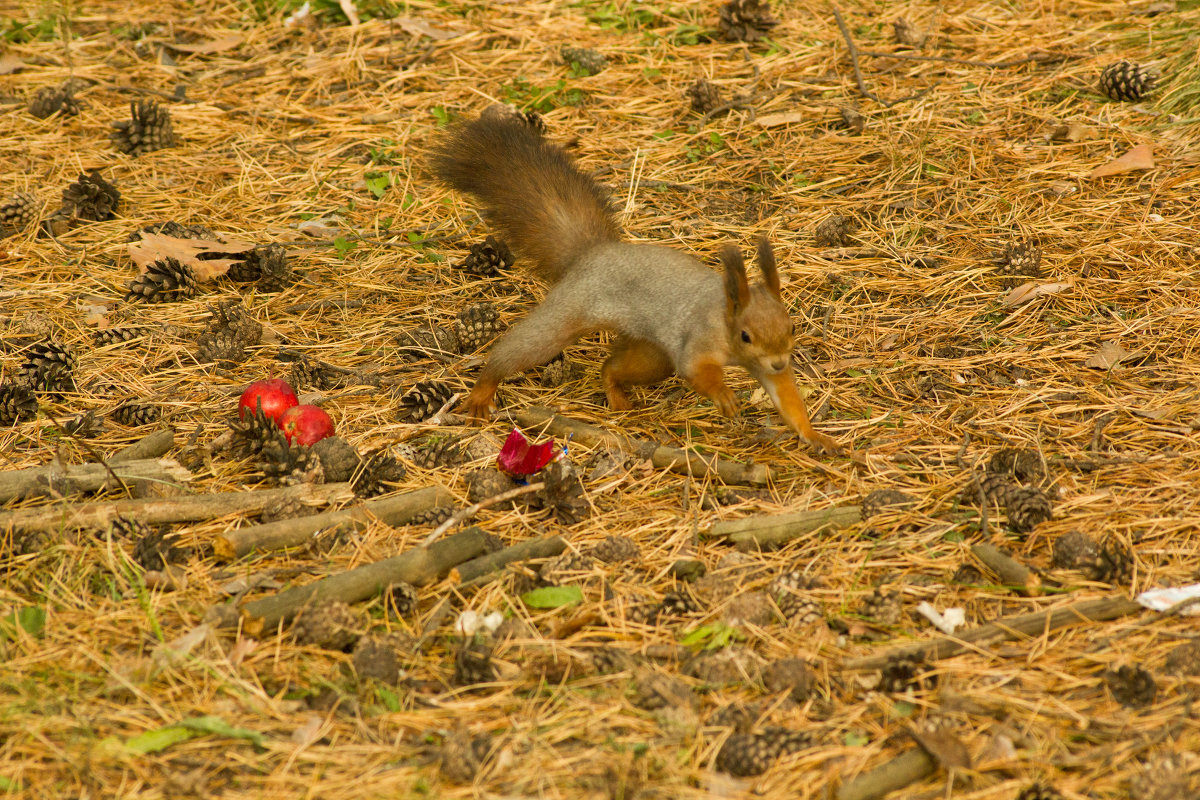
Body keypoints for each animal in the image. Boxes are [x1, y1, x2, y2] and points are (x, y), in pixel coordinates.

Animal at [436, 107, 840, 455]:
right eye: (745, 335)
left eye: (791, 328)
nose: (779, 363)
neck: (726, 318)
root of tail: (594, 253)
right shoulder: (699, 339)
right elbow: (697, 370)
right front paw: (723, 395)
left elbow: (786, 398)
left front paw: (814, 434)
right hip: (570, 312)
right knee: (520, 349)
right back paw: (483, 389)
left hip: (652, 354)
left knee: (611, 368)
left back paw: (616, 394)